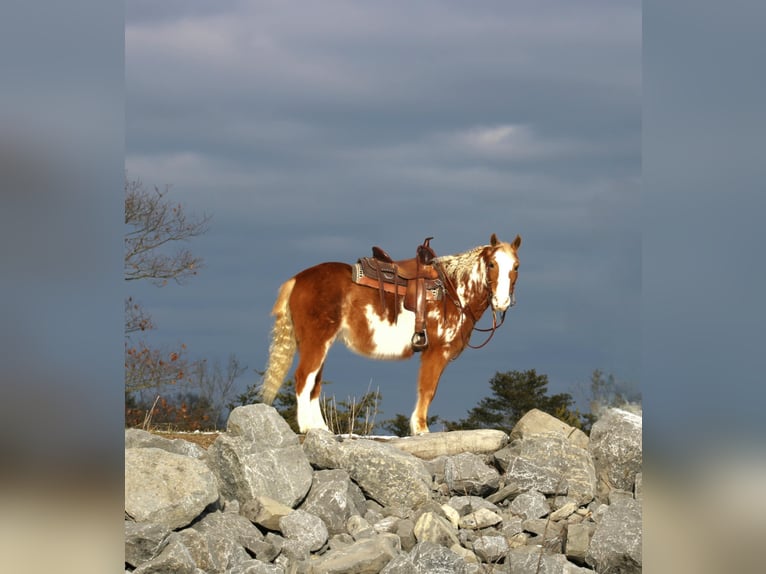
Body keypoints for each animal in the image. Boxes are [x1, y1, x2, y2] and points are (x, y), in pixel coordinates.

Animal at [260, 234, 520, 436]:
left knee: (314, 384)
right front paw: (421, 429)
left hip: (319, 344)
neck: (452, 290)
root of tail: (298, 279)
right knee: (304, 378)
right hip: (316, 342)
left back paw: (320, 428)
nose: (502, 301)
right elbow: (428, 389)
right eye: (492, 264)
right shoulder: (436, 352)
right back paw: (306, 427)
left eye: (516, 266)